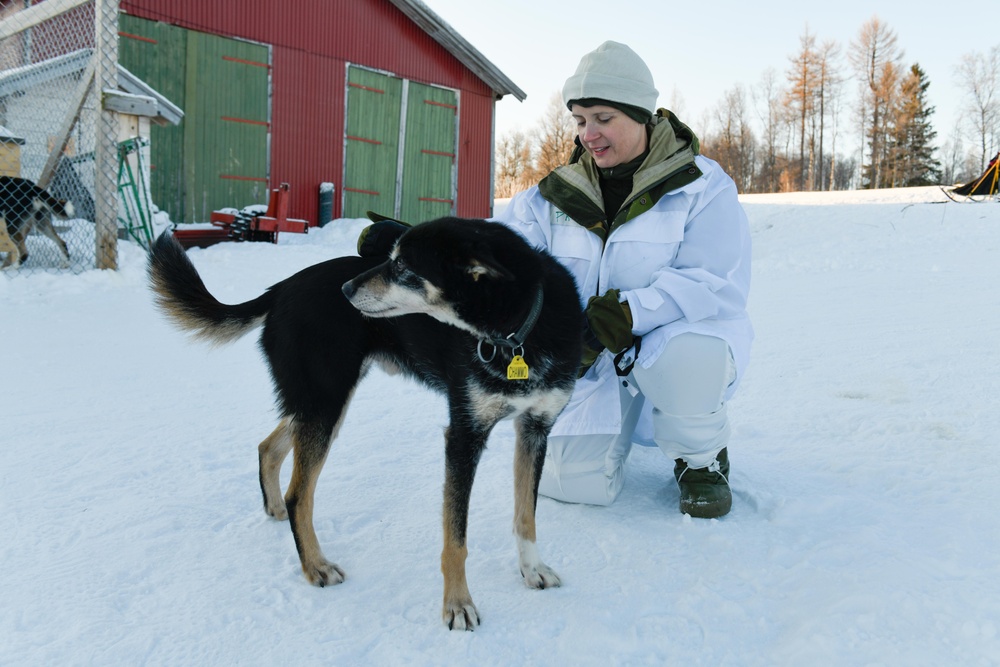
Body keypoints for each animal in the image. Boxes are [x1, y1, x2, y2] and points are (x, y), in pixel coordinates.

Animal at [149, 219, 584, 632]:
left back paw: (274, 508)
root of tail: (283, 287)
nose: (345, 288)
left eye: (402, 265)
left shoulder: (535, 429)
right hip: (325, 401)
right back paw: (315, 565)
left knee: (268, 448)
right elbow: (456, 540)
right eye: (391, 257)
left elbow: (526, 515)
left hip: (320, 403)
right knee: (299, 494)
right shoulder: (463, 436)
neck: (521, 329)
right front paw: (458, 604)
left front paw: (532, 569)